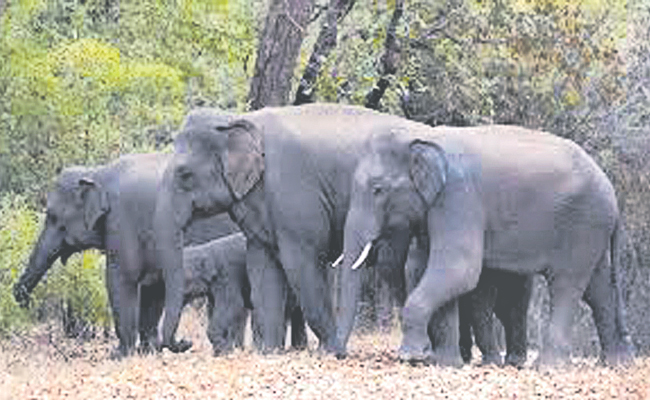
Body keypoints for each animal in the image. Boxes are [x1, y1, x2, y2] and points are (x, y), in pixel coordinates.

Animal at [12, 153, 304, 357]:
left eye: (52, 217)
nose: (21, 299)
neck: (97, 172)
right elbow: (152, 287)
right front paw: (148, 350)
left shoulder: (122, 222)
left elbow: (120, 280)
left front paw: (120, 355)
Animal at [336, 124, 635, 366]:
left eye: (377, 190)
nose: (339, 355)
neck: (423, 135)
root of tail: (612, 192)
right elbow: (431, 268)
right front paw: (445, 363)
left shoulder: (458, 197)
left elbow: (459, 269)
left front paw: (411, 357)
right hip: (593, 229)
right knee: (598, 289)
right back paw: (615, 363)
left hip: (583, 224)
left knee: (566, 284)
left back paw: (549, 366)